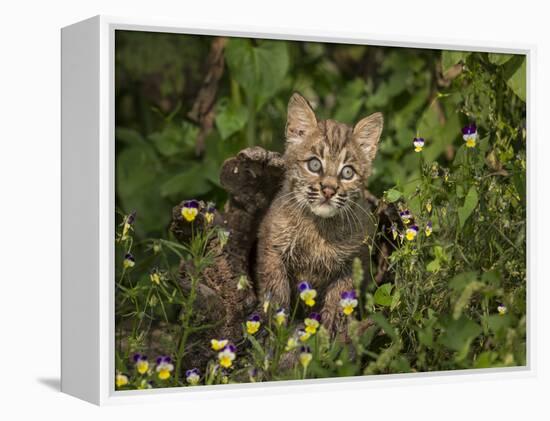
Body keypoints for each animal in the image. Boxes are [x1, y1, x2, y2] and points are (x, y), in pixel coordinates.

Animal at [256, 92, 382, 332]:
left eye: (347, 173)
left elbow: (341, 294)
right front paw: (277, 327)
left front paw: (331, 326)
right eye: (314, 165)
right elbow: (276, 288)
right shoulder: (272, 247)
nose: (329, 190)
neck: (318, 226)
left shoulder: (355, 258)